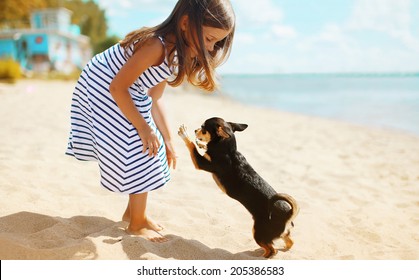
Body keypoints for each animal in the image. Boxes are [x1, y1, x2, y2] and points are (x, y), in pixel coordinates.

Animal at [179, 117, 300, 258]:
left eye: (203, 129)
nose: (195, 130)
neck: (228, 150)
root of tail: (288, 214)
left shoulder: (201, 163)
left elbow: (191, 146)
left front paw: (185, 134)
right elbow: (201, 148)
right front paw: (201, 144)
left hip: (258, 232)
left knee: (272, 250)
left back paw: (259, 256)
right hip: (280, 234)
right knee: (289, 242)